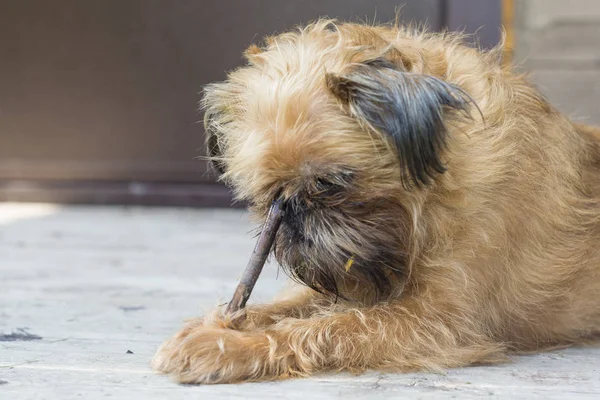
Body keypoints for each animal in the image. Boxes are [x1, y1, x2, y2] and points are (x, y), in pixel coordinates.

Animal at [151, 19, 600, 384]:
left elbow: (331, 327)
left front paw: (228, 347)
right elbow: (285, 307)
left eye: (329, 184)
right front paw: (216, 324)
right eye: (270, 197)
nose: (294, 216)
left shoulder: (438, 320)